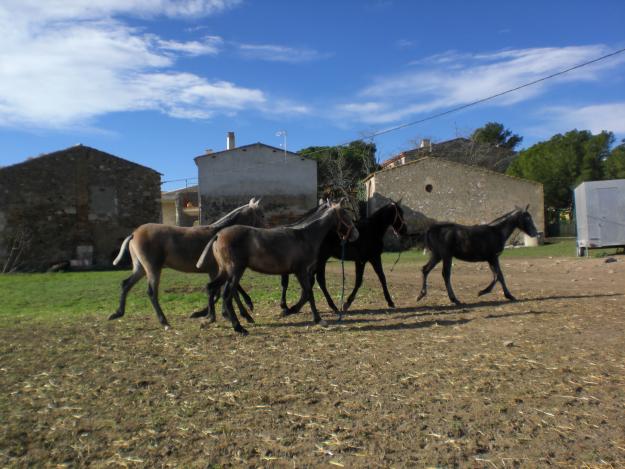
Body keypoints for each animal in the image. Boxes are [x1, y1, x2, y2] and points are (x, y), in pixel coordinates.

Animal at [109, 197, 264, 326]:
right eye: (261, 215)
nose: (265, 228)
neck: (219, 235)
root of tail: (134, 234)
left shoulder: (216, 271)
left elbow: (222, 291)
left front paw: (214, 314)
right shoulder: (219, 270)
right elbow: (229, 291)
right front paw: (244, 314)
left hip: (140, 268)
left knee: (126, 284)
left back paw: (117, 313)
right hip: (153, 268)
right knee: (151, 292)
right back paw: (164, 321)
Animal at [197, 203, 358, 334]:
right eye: (346, 215)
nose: (356, 235)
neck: (304, 236)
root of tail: (218, 235)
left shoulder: (300, 272)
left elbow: (306, 293)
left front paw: (291, 310)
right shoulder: (301, 271)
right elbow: (309, 293)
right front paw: (318, 319)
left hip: (225, 272)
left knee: (211, 287)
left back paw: (210, 318)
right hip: (235, 272)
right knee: (227, 295)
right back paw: (238, 327)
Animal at [280, 201, 408, 314]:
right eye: (401, 213)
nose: (405, 231)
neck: (372, 230)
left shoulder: (361, 261)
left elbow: (364, 280)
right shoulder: (372, 258)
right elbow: (377, 279)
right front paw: (390, 302)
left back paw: (293, 306)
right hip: (321, 260)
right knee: (319, 280)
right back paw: (331, 306)